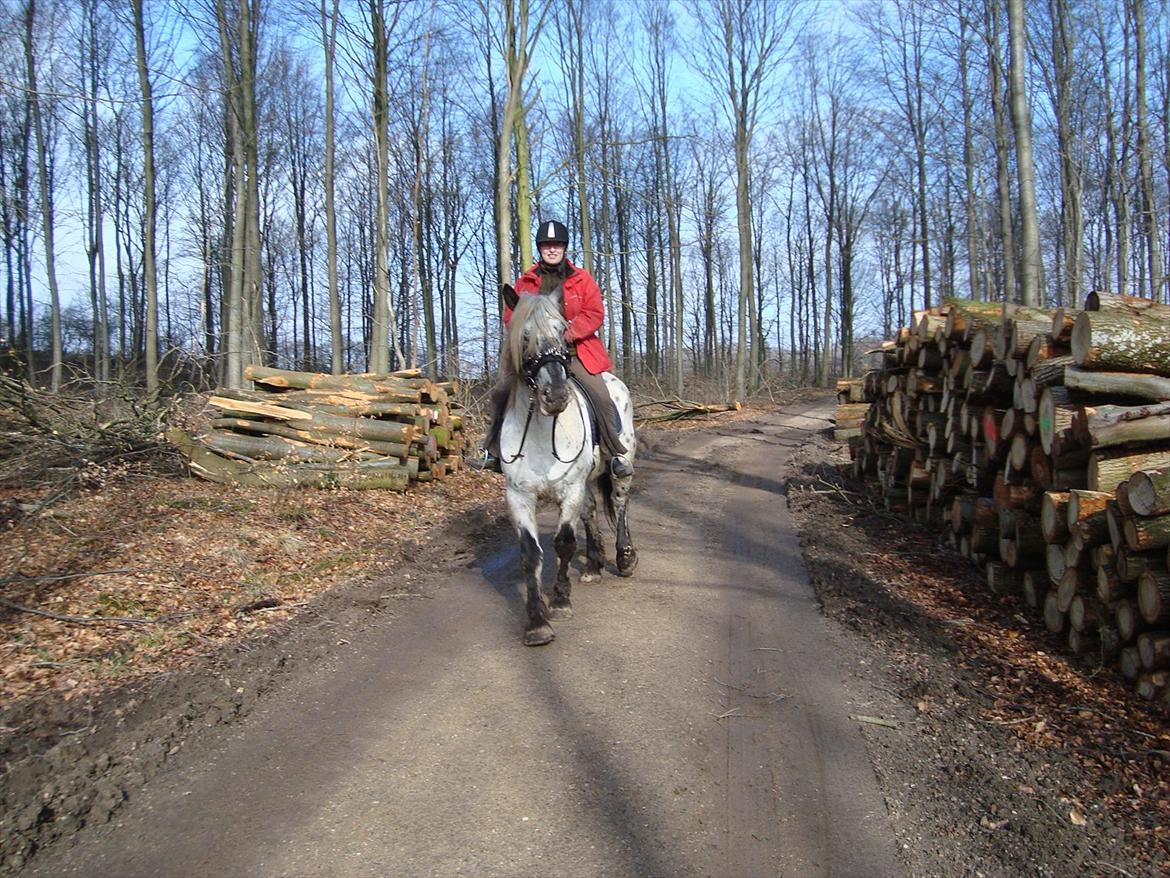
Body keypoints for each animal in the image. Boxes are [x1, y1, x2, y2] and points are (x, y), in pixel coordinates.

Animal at [498, 286, 636, 646]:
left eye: (562, 331)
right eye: (524, 335)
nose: (557, 395)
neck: (541, 431)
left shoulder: (569, 488)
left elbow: (564, 543)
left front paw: (560, 601)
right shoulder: (519, 495)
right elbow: (530, 553)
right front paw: (537, 622)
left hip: (621, 467)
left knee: (619, 505)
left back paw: (625, 557)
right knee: (590, 511)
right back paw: (594, 565)